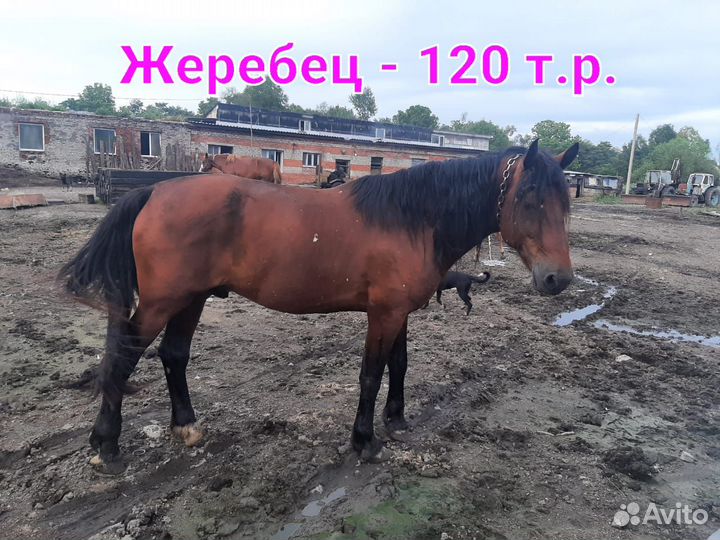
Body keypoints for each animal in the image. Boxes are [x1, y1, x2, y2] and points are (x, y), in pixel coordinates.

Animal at [58, 139, 578, 472]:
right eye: (529, 197)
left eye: (566, 202)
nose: (557, 278)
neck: (413, 219)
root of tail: (153, 192)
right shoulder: (383, 314)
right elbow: (371, 374)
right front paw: (365, 441)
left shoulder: (400, 312)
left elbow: (400, 365)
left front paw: (397, 421)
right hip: (164, 301)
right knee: (123, 358)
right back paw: (105, 446)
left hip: (192, 298)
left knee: (173, 355)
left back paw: (185, 427)